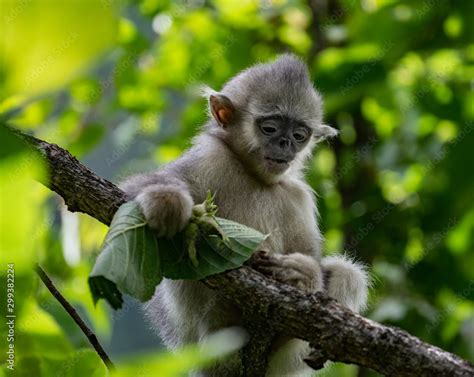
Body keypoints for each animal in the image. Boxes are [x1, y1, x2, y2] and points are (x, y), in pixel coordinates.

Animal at [121, 54, 366, 374]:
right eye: (270, 128)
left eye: (299, 135)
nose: (286, 144)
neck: (254, 177)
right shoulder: (210, 157)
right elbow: (134, 191)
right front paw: (166, 201)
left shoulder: (297, 196)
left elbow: (309, 254)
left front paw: (303, 274)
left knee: (349, 273)